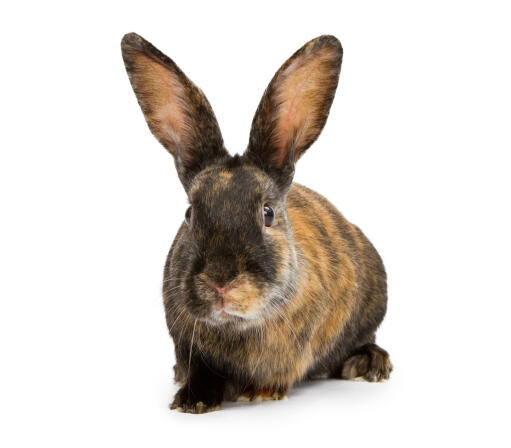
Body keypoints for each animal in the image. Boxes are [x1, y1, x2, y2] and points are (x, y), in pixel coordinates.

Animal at [122, 32, 394, 412]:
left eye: (268, 213)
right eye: (190, 214)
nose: (221, 282)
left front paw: (258, 393)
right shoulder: (186, 343)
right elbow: (199, 369)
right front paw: (193, 399)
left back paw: (369, 364)